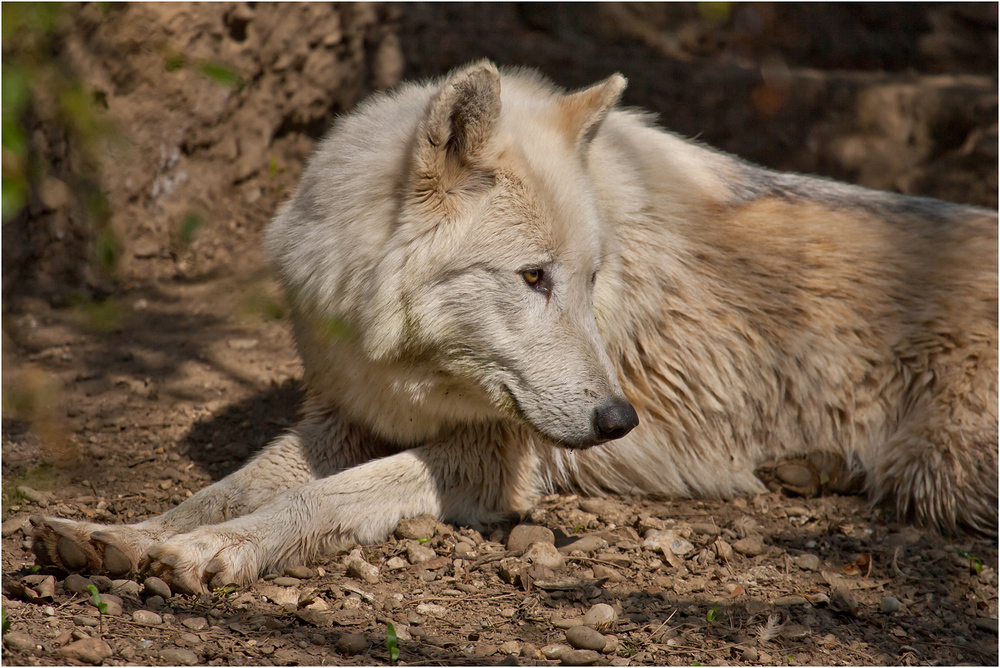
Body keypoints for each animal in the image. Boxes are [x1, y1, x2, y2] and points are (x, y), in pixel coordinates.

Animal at [31, 60, 1000, 592]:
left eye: (592, 280)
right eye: (534, 279)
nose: (619, 421)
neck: (406, 362)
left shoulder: (494, 456)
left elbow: (312, 499)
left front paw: (213, 553)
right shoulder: (343, 416)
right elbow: (230, 485)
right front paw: (125, 537)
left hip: (943, 473)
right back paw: (806, 469)